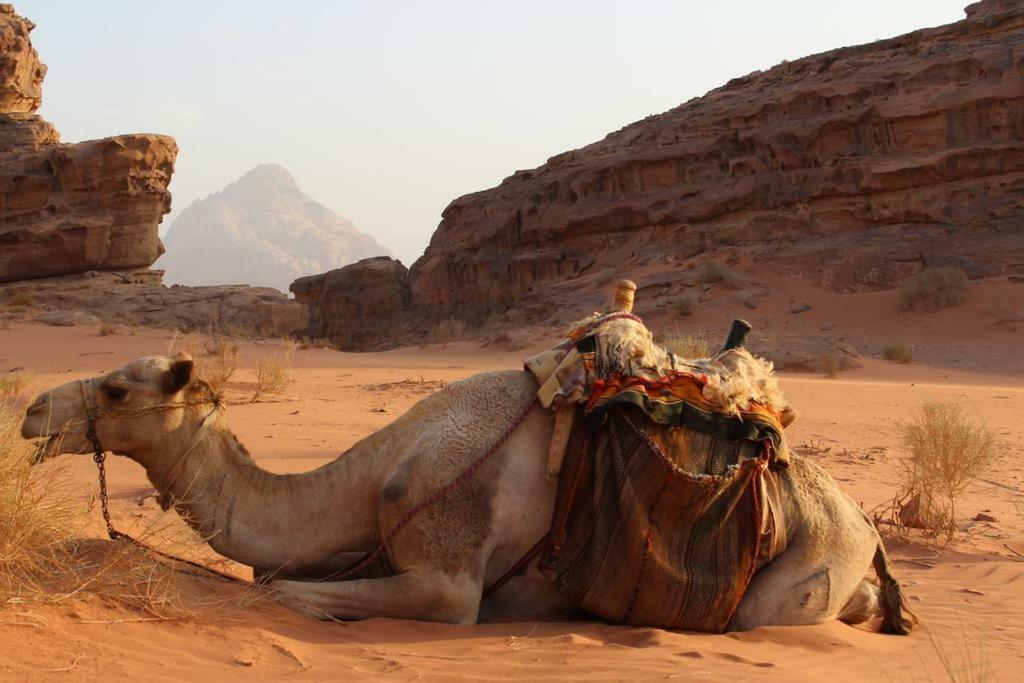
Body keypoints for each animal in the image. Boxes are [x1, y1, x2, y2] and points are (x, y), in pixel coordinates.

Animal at [19, 356, 913, 634]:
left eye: (118, 387)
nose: (33, 409)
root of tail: (867, 527)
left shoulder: (448, 576)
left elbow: (281, 590)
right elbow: (280, 578)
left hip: (808, 560)